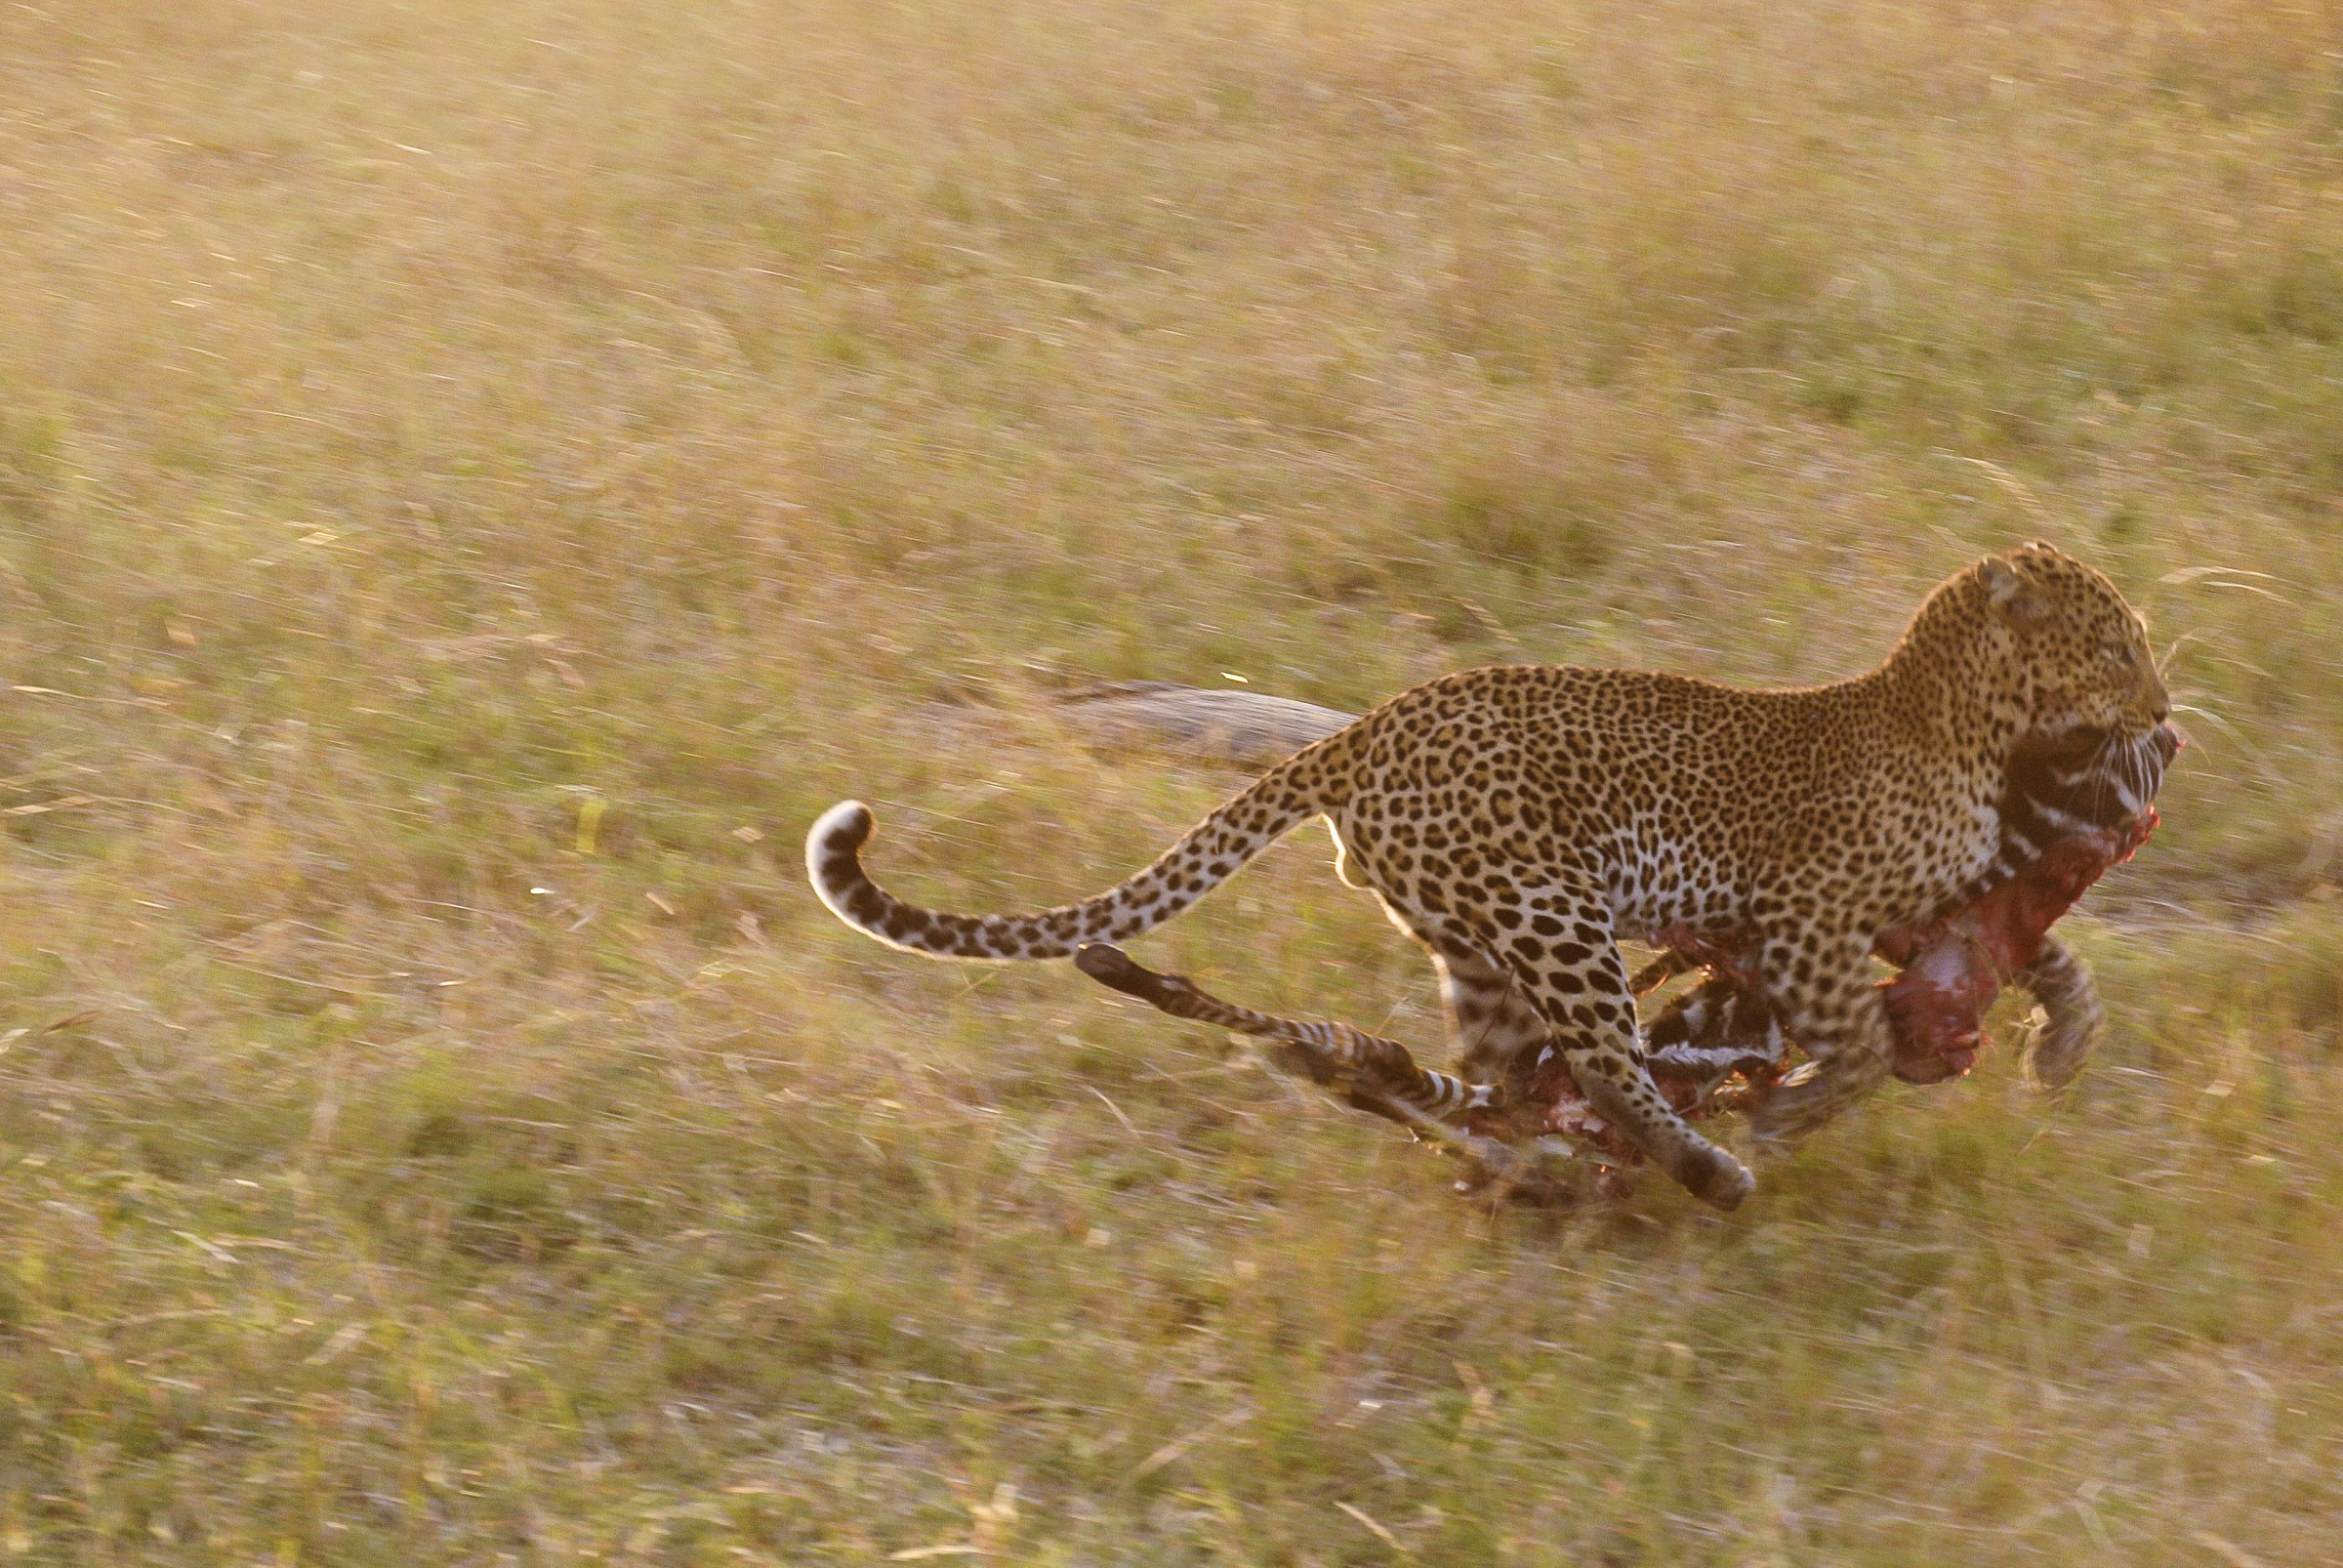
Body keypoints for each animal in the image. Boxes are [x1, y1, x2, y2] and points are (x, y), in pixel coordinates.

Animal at [808, 542, 2171, 1209]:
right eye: (2117, 644)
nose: (2165, 711)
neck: (1972, 730)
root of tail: (1361, 731)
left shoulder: (1908, 914)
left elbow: (2046, 951)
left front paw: (2065, 1038)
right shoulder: (1803, 919)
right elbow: (1861, 1039)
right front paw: (1799, 1107)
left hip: (1478, 936)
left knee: (1492, 1081)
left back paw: (1504, 1155)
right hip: (1556, 910)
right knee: (1605, 1066)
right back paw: (1706, 1166)